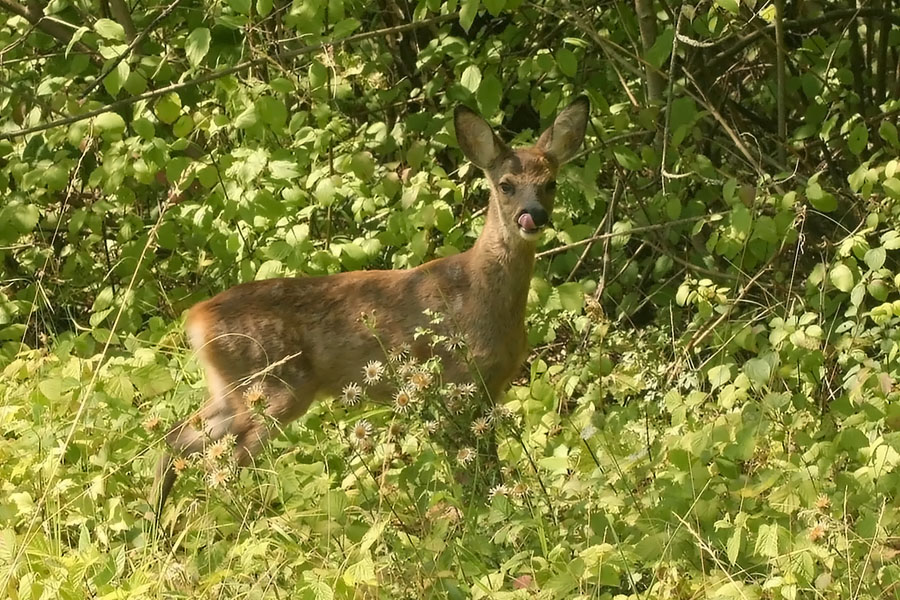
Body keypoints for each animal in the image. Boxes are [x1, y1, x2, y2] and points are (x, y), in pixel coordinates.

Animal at [155, 96, 592, 512]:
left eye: (550, 183)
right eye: (506, 184)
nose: (533, 216)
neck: (479, 293)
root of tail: (195, 319)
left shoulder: (490, 388)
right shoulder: (458, 379)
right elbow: (471, 466)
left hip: (233, 389)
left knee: (179, 439)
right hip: (274, 388)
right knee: (222, 460)